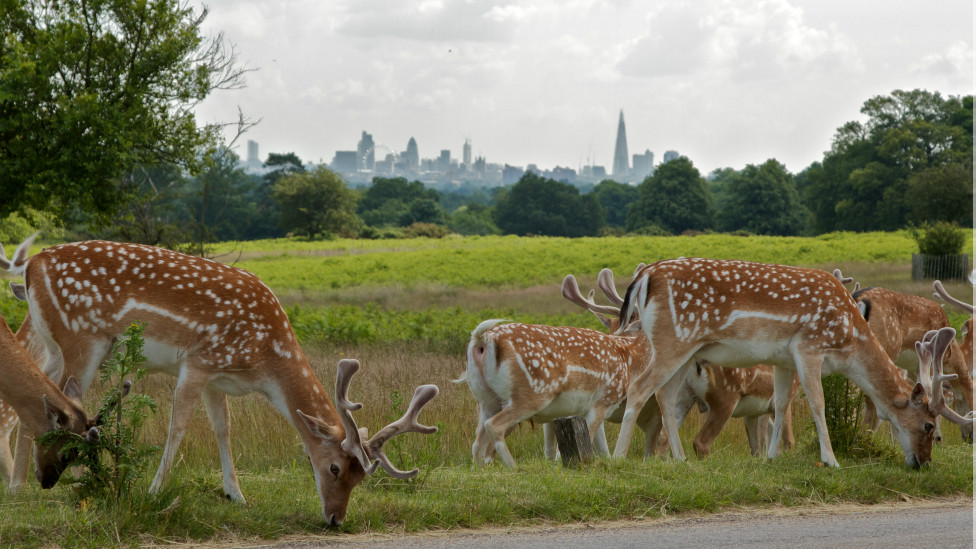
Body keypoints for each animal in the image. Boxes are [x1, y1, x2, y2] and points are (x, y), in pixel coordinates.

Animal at [0, 233, 434, 524]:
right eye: (335, 469)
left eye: (361, 477)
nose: (336, 519)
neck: (264, 361)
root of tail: (32, 267)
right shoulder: (199, 361)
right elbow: (178, 426)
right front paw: (154, 491)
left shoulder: (217, 377)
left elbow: (223, 429)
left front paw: (236, 495)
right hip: (82, 338)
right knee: (56, 401)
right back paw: (66, 480)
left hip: (53, 344)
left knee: (33, 401)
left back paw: (20, 486)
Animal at [608, 256, 968, 466]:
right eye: (929, 425)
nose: (924, 462)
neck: (847, 339)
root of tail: (643, 276)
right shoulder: (809, 347)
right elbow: (817, 402)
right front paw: (830, 460)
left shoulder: (781, 360)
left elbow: (780, 405)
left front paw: (770, 457)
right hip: (672, 339)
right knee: (640, 389)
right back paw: (618, 457)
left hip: (687, 349)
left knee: (665, 396)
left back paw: (680, 460)